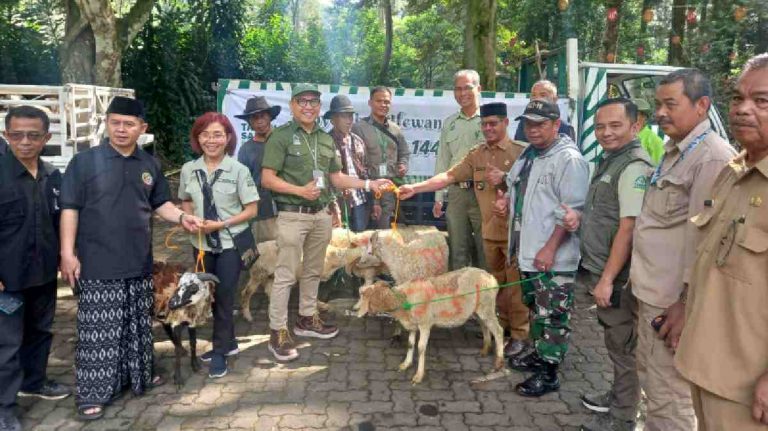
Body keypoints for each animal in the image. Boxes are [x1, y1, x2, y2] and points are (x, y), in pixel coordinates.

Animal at [358, 270, 508, 384]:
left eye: (365, 296)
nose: (357, 311)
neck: (403, 300)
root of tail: (491, 277)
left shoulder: (425, 324)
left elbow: (420, 348)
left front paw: (418, 376)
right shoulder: (413, 325)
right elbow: (410, 344)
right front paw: (406, 364)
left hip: (487, 306)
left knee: (498, 331)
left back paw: (498, 363)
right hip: (478, 309)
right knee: (485, 325)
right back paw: (485, 349)